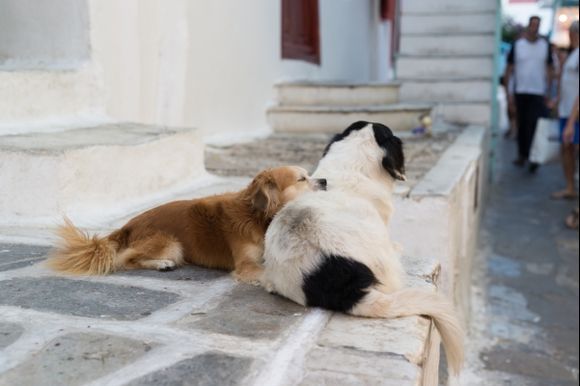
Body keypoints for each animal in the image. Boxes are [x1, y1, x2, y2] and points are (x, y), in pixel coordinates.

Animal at [46, 167, 326, 284]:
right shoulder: (246, 264)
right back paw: (161, 264)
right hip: (171, 243)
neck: (258, 216)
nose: (324, 180)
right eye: (302, 179)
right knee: (126, 259)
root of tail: (128, 225)